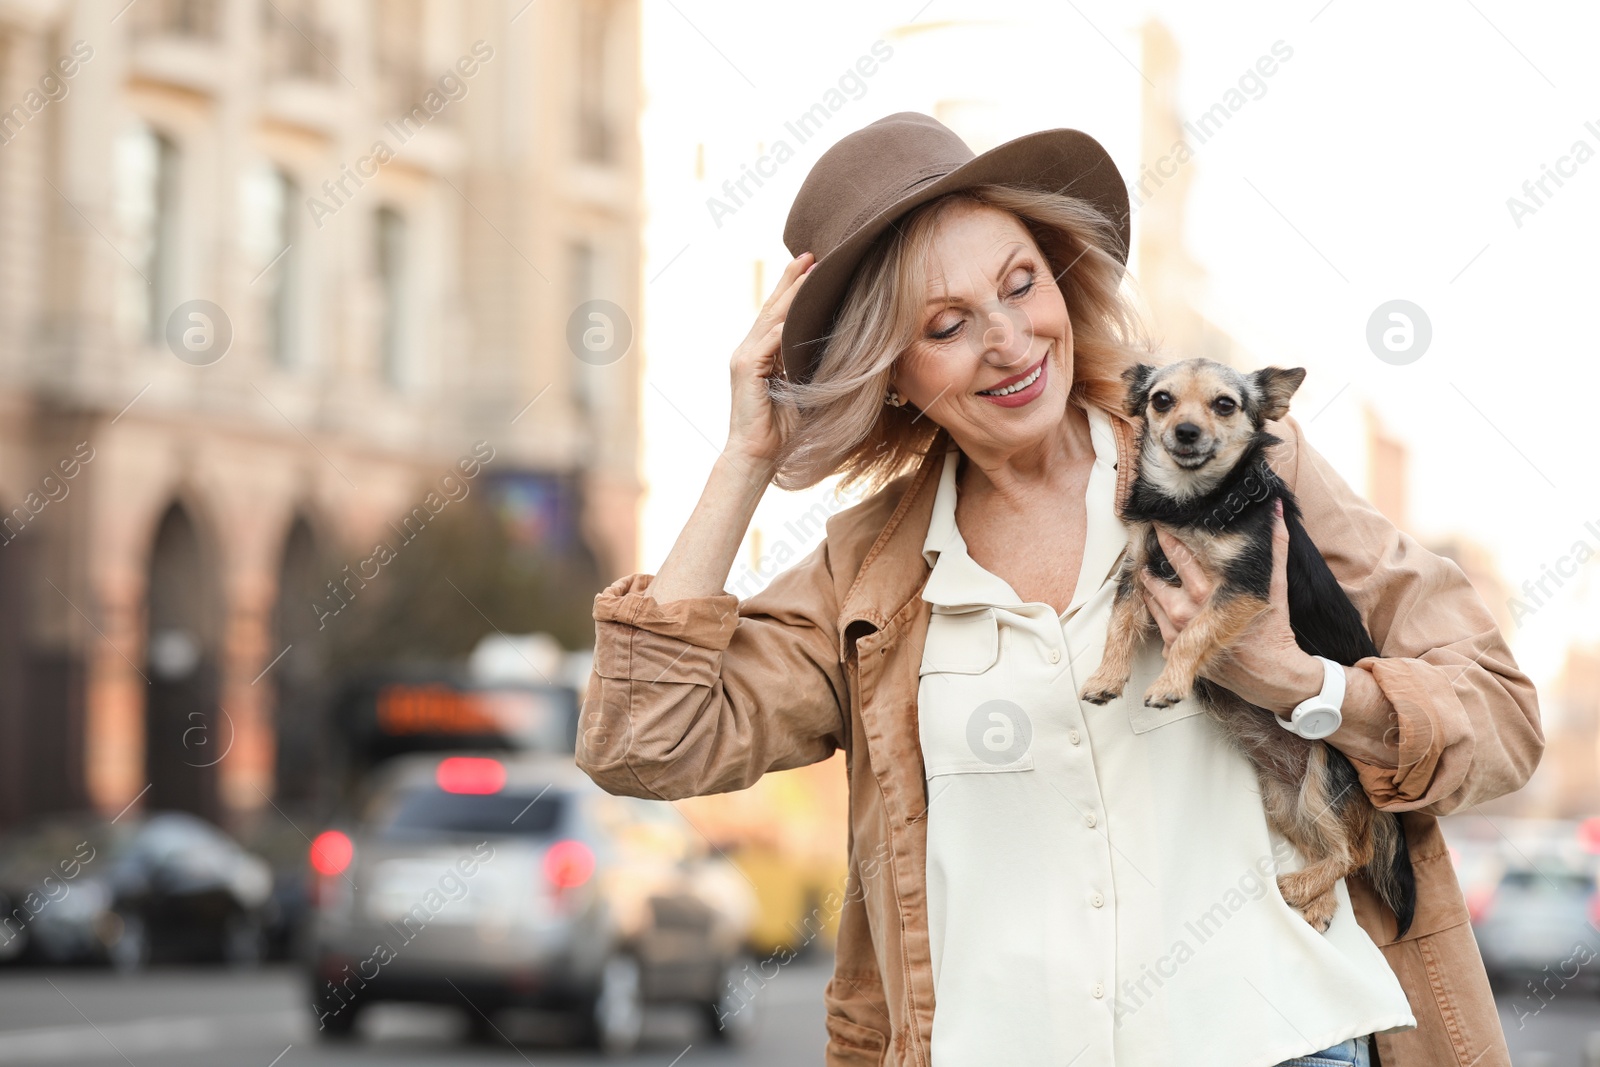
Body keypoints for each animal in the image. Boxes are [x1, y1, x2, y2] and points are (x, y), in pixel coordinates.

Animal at [1088, 358, 1414, 934]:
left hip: (1326, 774)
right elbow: (1119, 624)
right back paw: (1318, 902)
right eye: (1161, 400)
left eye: (1225, 404)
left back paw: (1296, 889)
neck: (1191, 502)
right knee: (1334, 850)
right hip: (1289, 803)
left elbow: (1194, 632)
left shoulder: (1243, 586)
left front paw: (1169, 683)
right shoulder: (1140, 569)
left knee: (1353, 853)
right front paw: (1107, 678)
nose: (1185, 432)